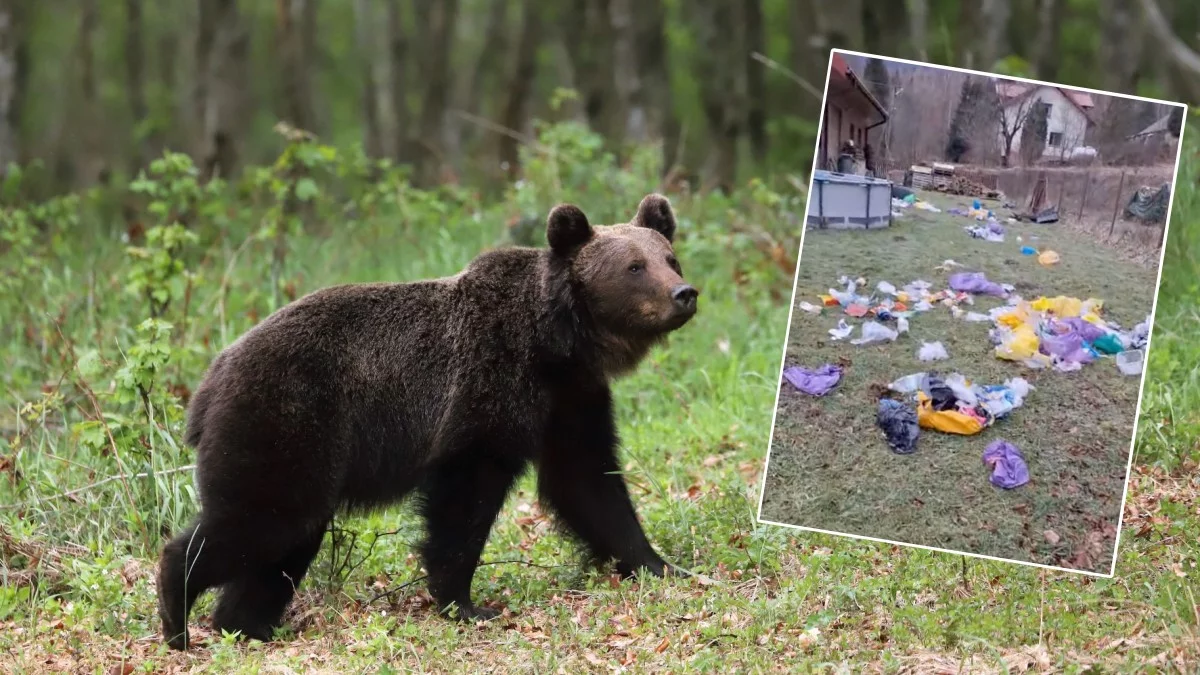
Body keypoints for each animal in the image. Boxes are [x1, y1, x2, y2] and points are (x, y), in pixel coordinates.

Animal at [159, 190, 700, 648]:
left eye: (668, 258)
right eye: (634, 267)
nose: (684, 293)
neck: (557, 342)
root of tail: (208, 383)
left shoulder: (571, 400)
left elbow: (590, 484)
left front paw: (662, 565)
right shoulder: (488, 385)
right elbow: (465, 494)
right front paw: (466, 602)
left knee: (284, 542)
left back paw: (247, 624)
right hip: (285, 419)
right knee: (260, 518)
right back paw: (177, 612)